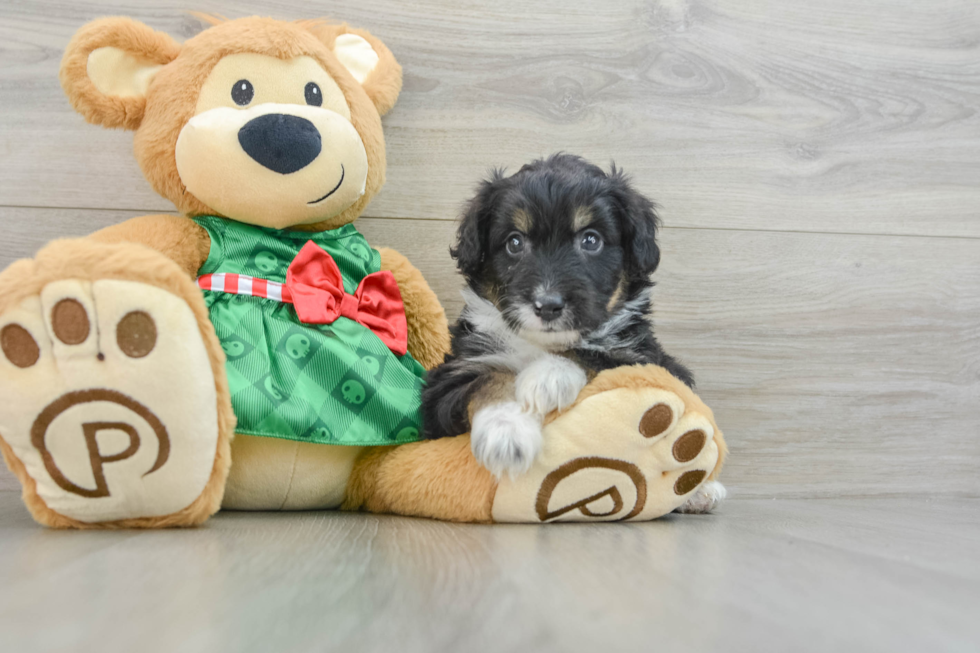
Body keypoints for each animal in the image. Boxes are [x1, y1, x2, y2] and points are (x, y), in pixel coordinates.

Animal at [422, 155, 720, 506]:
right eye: (514, 242)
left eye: (591, 240)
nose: (548, 305)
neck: (539, 345)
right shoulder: (447, 382)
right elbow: (488, 379)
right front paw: (506, 433)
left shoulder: (645, 359)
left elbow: (591, 354)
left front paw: (546, 377)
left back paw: (701, 492)